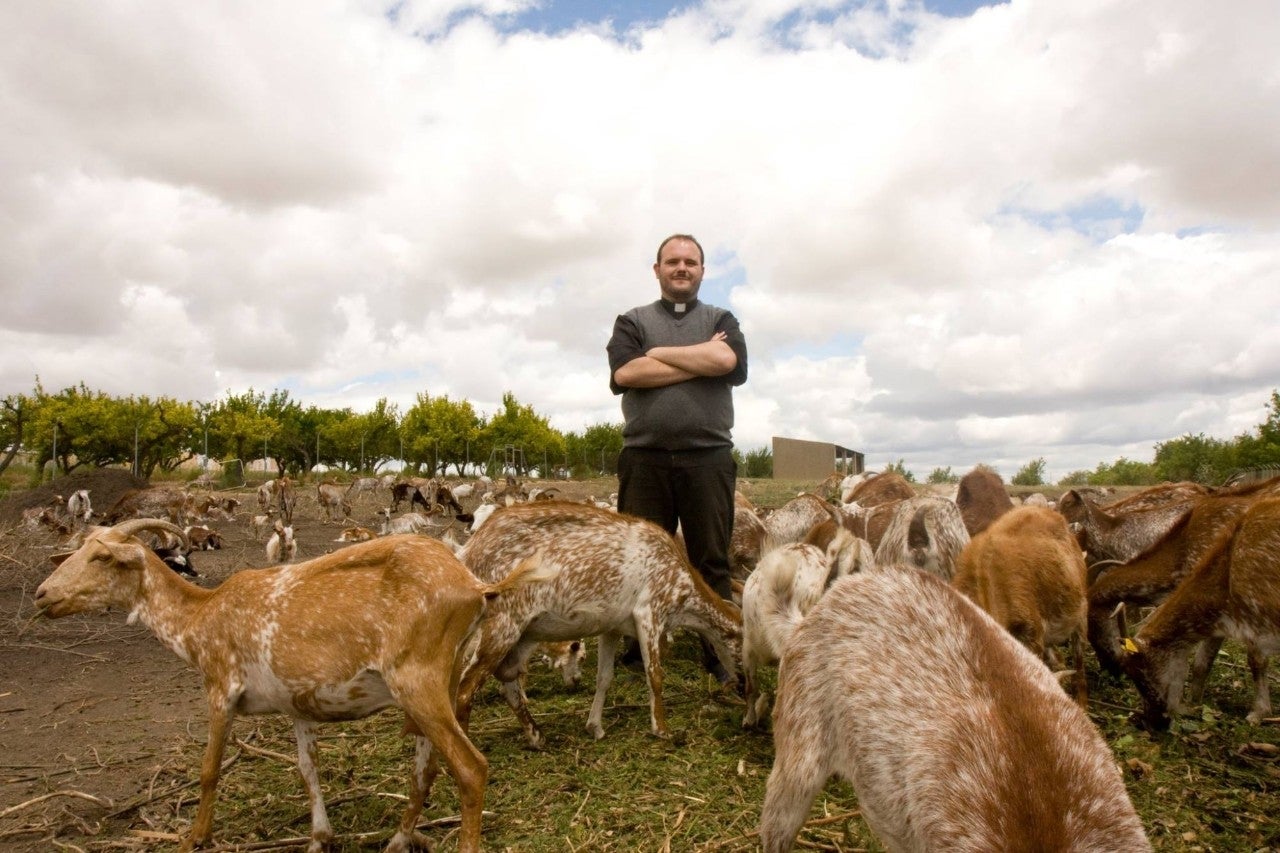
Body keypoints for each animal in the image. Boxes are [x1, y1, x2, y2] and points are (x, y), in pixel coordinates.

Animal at [32, 517, 552, 850]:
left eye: (101, 557)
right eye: (77, 551)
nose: (42, 595)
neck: (200, 616)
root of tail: (476, 587)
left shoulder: (220, 688)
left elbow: (209, 770)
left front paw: (195, 837)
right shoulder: (298, 706)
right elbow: (307, 769)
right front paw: (320, 837)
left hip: (417, 680)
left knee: (471, 767)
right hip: (437, 683)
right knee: (425, 770)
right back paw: (398, 839)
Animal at [458, 499, 742, 742]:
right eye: (744, 649)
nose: (742, 684)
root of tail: (469, 553)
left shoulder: (612, 628)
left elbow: (604, 678)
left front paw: (595, 727)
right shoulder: (649, 613)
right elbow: (655, 675)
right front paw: (662, 729)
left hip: (521, 635)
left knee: (508, 684)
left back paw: (537, 737)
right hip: (500, 624)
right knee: (465, 687)